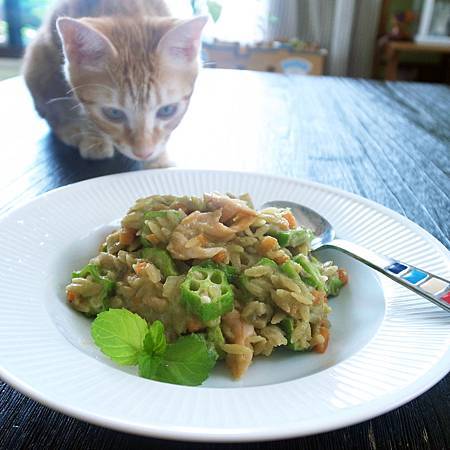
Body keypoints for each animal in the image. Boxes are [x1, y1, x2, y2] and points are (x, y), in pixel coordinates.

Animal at [23, 0, 207, 163]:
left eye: (167, 110)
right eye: (113, 113)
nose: (144, 153)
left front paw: (159, 161)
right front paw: (93, 137)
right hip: (37, 60)